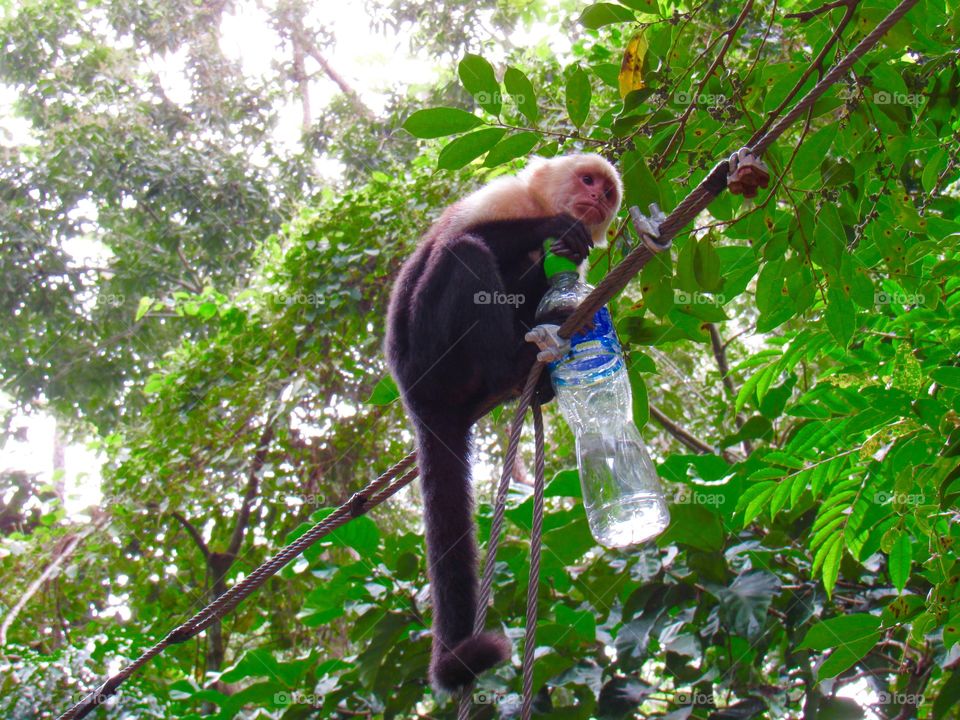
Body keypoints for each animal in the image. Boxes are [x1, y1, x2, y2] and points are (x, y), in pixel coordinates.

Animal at [384, 154, 623, 692]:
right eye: (587, 181)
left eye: (608, 194)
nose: (596, 201)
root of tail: (415, 395)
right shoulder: (505, 197)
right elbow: (476, 235)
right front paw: (556, 228)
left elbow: (553, 278)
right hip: (430, 352)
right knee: (464, 252)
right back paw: (509, 366)